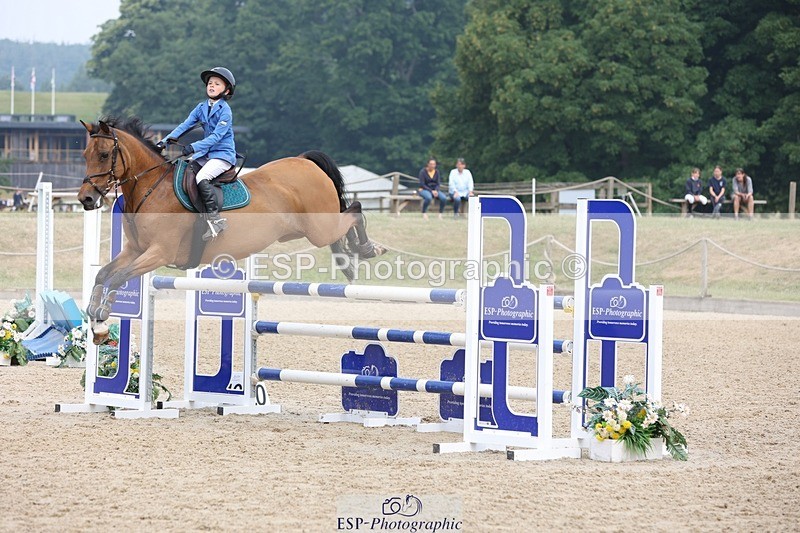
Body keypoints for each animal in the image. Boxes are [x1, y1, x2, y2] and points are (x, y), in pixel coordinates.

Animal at [78, 117, 385, 344]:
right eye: (84, 155)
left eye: (104, 155)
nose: (86, 199)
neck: (152, 188)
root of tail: (305, 161)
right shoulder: (135, 250)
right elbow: (103, 274)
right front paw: (96, 319)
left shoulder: (158, 253)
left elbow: (119, 277)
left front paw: (103, 316)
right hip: (306, 230)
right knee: (345, 223)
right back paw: (349, 261)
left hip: (320, 228)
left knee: (354, 210)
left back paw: (367, 248)